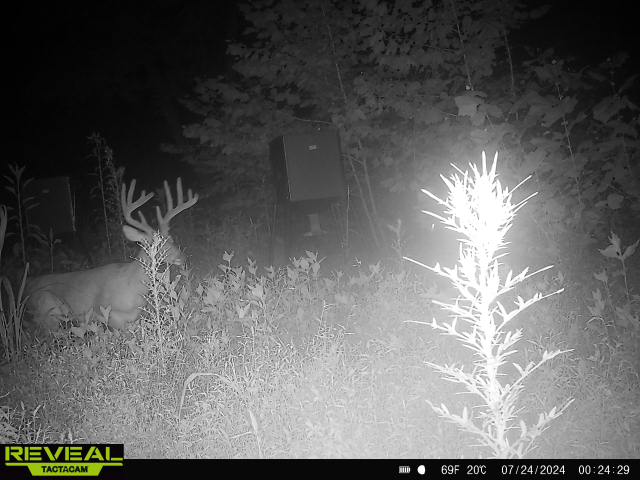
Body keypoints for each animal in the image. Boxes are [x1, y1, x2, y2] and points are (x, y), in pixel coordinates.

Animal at [26, 177, 198, 333]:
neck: (134, 288)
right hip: (48, 307)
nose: (182, 258)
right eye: (152, 245)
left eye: (171, 239)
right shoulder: (109, 314)